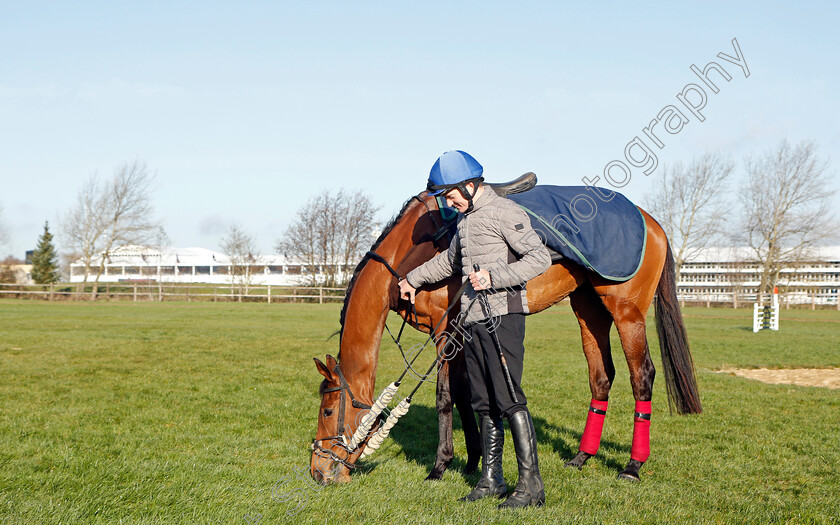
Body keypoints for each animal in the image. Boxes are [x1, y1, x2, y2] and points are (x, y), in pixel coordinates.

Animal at [310, 177, 704, 484]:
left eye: (327, 411)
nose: (317, 471)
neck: (410, 249)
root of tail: (650, 220)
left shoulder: (444, 331)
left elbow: (444, 396)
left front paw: (441, 465)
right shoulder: (461, 334)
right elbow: (465, 393)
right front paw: (473, 459)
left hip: (626, 312)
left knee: (642, 376)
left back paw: (633, 465)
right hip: (589, 310)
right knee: (601, 377)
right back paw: (582, 457)